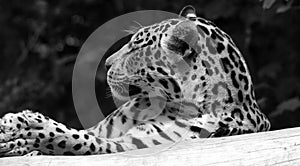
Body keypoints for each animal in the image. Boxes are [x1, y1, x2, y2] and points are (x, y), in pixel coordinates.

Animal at [0, 5, 272, 157]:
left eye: (136, 47)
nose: (107, 63)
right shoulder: (101, 130)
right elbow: (79, 132)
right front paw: (13, 126)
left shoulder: (133, 146)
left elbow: (73, 138)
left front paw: (29, 127)